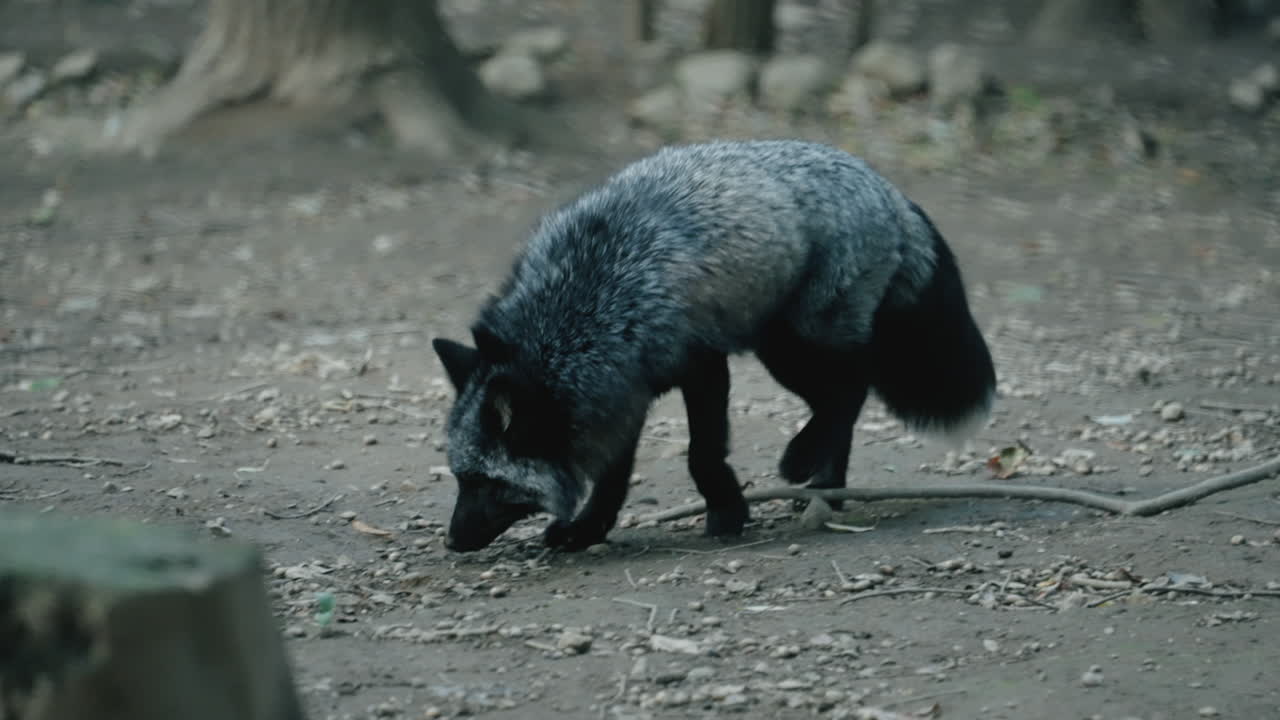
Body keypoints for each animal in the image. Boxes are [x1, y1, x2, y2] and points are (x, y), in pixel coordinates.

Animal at [432, 139, 997, 553]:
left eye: (486, 483)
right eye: (459, 478)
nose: (453, 542)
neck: (590, 298)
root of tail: (889, 189)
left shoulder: (700, 364)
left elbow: (700, 454)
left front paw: (728, 512)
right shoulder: (620, 392)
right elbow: (613, 476)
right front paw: (588, 529)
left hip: (800, 342)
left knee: (852, 389)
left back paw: (805, 466)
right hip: (780, 351)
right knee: (840, 400)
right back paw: (826, 489)